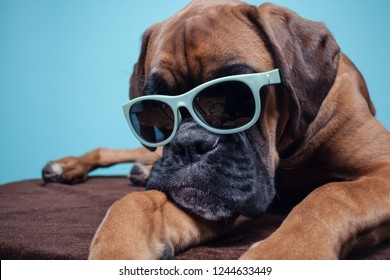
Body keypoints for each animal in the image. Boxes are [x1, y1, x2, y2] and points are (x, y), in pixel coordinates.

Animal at [42, 0, 390, 260]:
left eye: (236, 99)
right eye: (158, 111)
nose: (188, 144)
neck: (286, 149)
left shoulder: (382, 168)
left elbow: (333, 194)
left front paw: (285, 253)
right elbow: (136, 203)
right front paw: (117, 251)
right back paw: (71, 166)